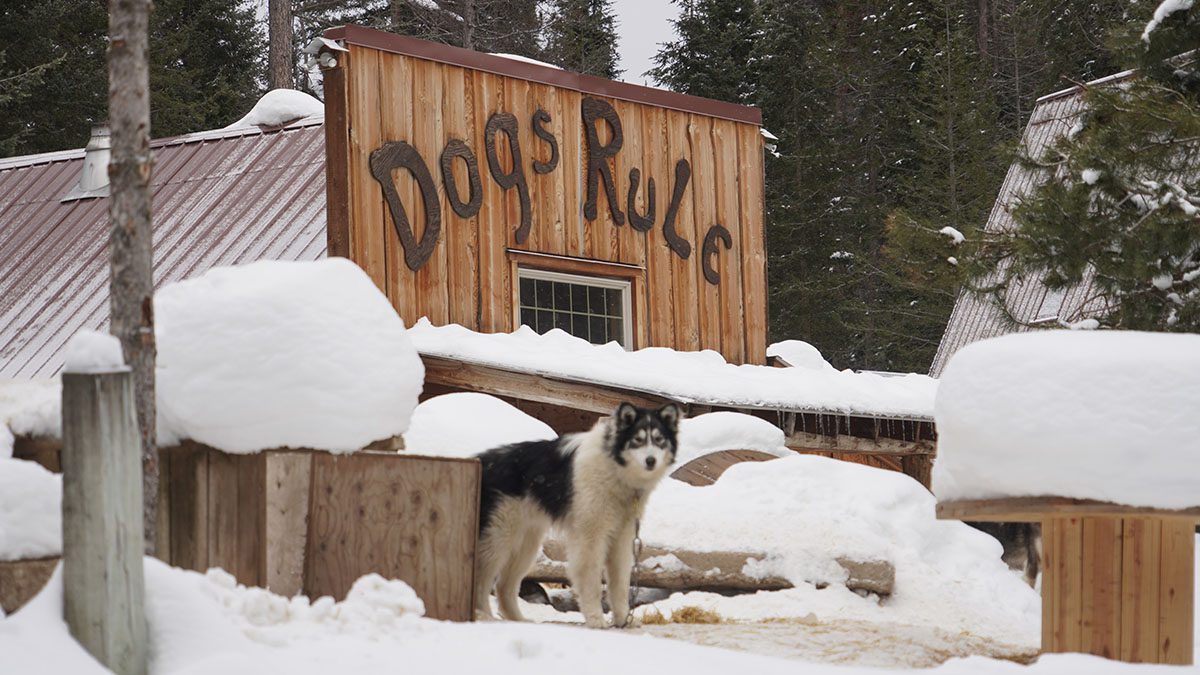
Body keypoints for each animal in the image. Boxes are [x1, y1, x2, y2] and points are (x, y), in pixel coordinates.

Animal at [470, 398, 681, 624]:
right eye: (637, 440)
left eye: (659, 440)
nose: (651, 460)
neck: (613, 465)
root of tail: (479, 461)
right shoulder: (590, 537)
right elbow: (592, 582)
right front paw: (596, 620)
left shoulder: (621, 539)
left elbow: (620, 584)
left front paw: (623, 621)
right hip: (498, 540)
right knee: (481, 581)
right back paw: (484, 616)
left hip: (525, 544)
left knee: (504, 586)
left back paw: (518, 620)